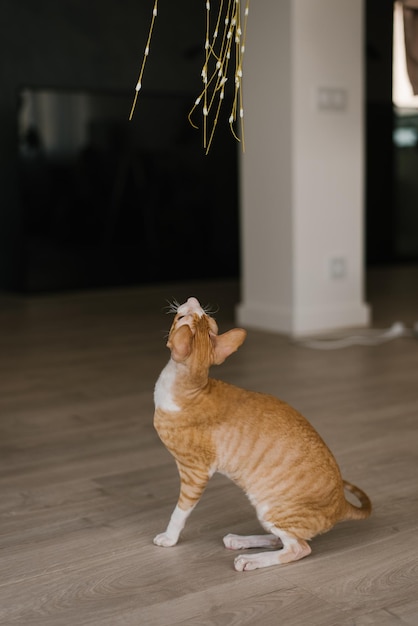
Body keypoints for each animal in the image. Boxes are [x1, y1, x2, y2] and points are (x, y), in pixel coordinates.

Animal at [153, 294, 372, 568]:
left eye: (183, 317)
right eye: (207, 319)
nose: (193, 300)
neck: (192, 387)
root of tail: (341, 505)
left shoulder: (195, 472)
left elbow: (180, 512)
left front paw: (169, 538)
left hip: (272, 508)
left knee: (298, 548)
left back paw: (251, 560)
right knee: (282, 539)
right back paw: (240, 541)